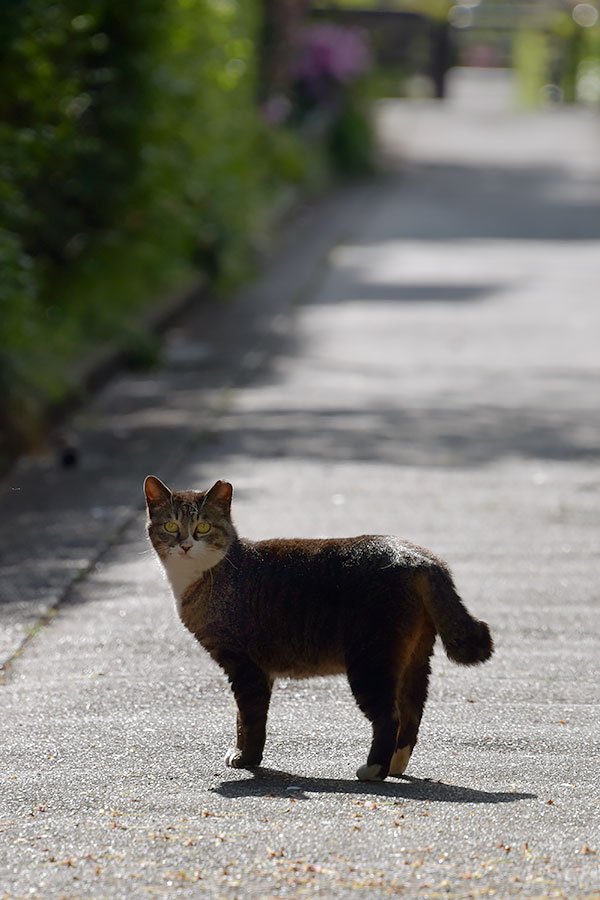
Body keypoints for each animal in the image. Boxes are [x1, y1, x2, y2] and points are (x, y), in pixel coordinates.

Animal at [145, 478, 492, 780]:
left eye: (203, 527)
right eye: (171, 527)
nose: (185, 545)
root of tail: (420, 559)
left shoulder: (244, 666)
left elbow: (251, 717)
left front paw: (247, 760)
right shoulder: (255, 670)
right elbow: (241, 719)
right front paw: (242, 752)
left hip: (370, 661)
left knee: (388, 717)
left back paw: (374, 770)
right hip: (415, 658)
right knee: (412, 711)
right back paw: (396, 764)